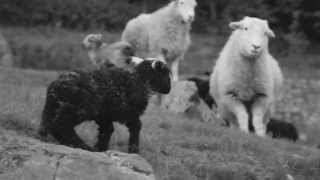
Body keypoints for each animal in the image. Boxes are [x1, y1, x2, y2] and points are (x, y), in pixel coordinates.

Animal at [39, 57, 172, 153]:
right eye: (165, 74)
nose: (169, 89)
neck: (140, 80)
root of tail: (56, 85)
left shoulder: (104, 114)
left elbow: (107, 130)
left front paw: (101, 148)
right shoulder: (128, 113)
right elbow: (136, 126)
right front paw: (134, 150)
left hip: (53, 107)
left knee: (49, 124)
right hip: (80, 108)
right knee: (61, 125)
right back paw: (82, 146)